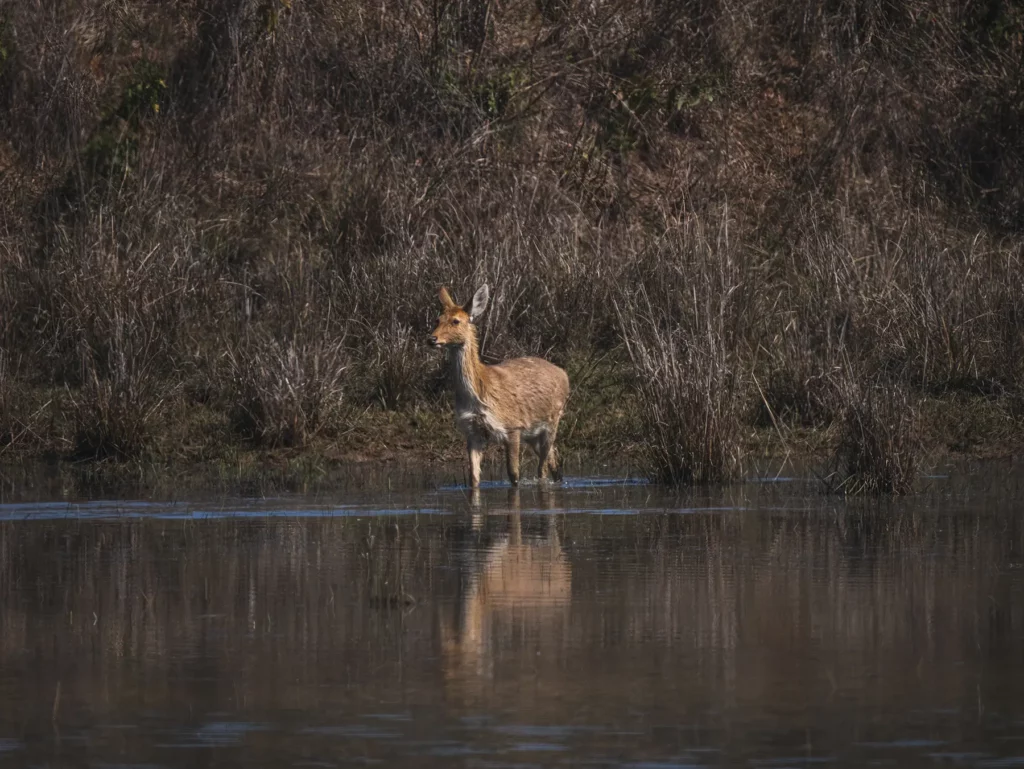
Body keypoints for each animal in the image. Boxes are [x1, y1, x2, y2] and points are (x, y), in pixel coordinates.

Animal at [428, 284, 570, 488]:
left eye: (456, 321)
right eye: (437, 319)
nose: (432, 339)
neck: (480, 394)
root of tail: (564, 374)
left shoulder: (513, 425)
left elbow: (514, 475)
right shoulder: (472, 430)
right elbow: (473, 477)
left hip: (553, 420)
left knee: (542, 469)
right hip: (535, 433)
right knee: (554, 460)